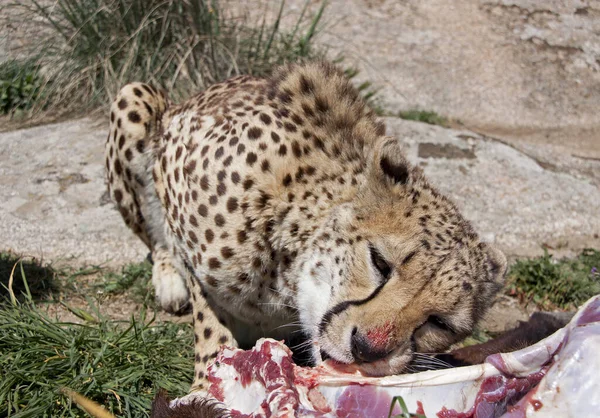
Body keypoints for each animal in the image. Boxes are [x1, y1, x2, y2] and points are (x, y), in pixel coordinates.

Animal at [106, 62, 506, 398]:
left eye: (439, 323)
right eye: (380, 262)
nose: (367, 348)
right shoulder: (175, 176)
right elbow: (210, 323)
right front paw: (208, 386)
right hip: (134, 95)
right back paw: (168, 279)